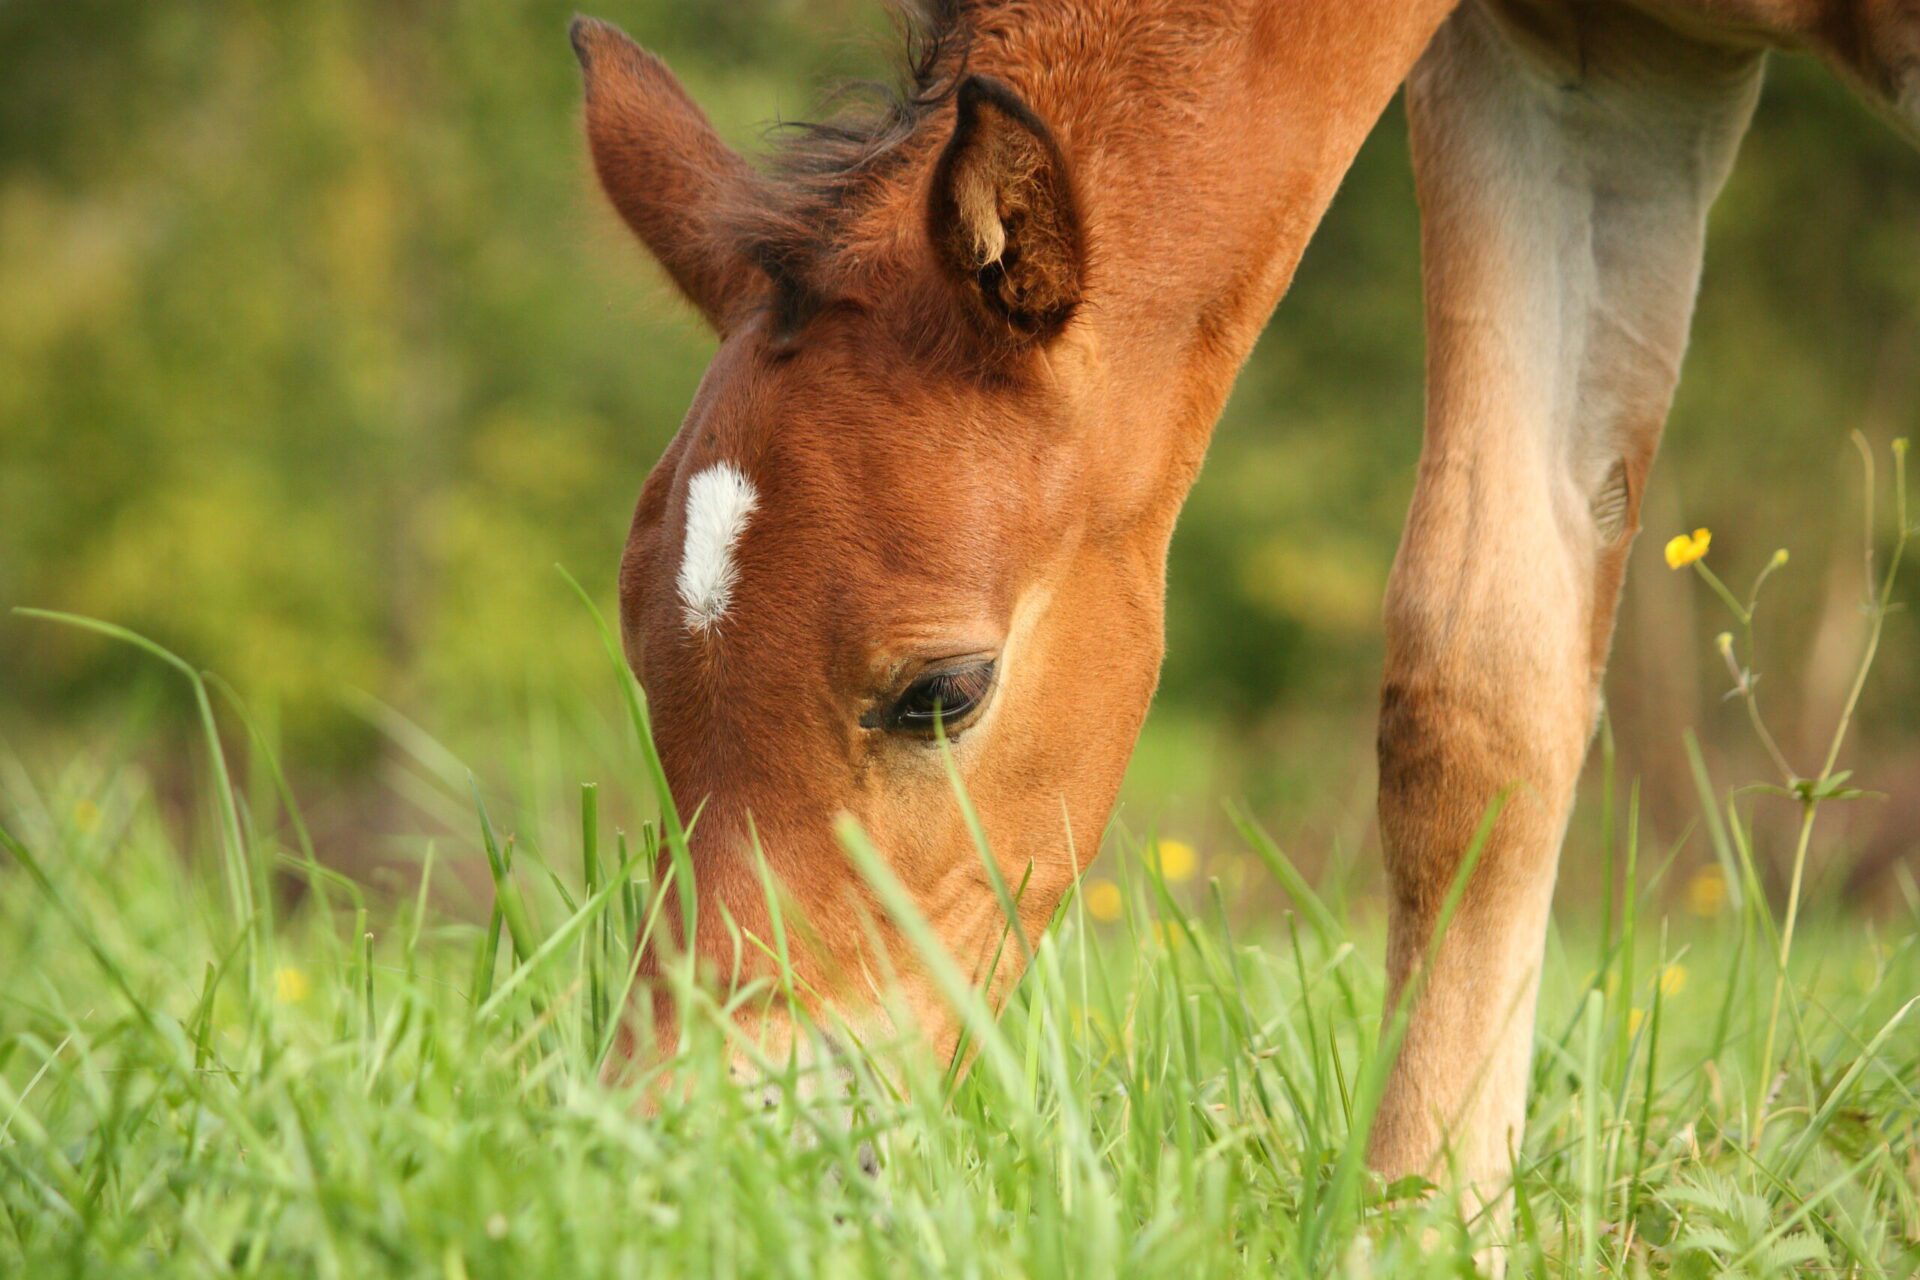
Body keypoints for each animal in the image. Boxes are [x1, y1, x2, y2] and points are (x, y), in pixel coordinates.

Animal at [571, 0, 1918, 1206]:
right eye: (644, 667)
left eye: (942, 692)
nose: (691, 1147)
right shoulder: (1585, 71)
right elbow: (1482, 689)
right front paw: (1420, 1217)